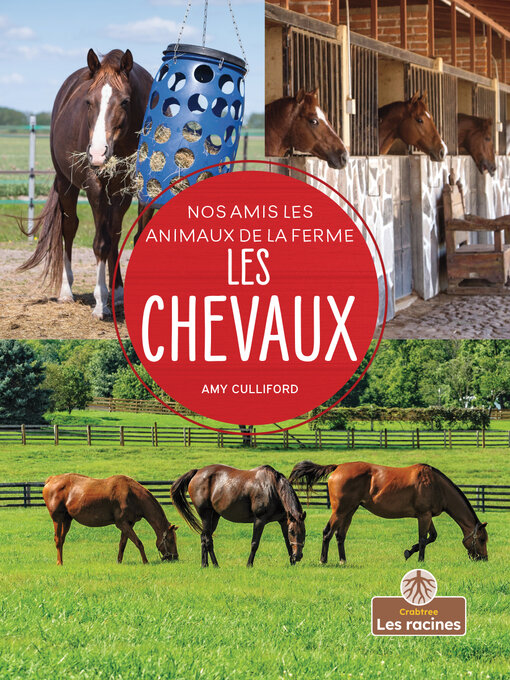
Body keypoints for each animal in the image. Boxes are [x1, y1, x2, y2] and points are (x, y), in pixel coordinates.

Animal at [19, 49, 154, 319]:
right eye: (89, 102)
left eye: (125, 101)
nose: (98, 154)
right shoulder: (95, 188)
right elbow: (100, 244)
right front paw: (101, 303)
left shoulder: (129, 190)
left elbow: (118, 238)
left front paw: (116, 296)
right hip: (66, 184)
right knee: (69, 229)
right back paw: (66, 291)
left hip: (117, 195)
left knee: (114, 234)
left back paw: (118, 293)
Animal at [43, 473, 178, 565]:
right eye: (171, 540)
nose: (175, 557)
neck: (132, 495)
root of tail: (51, 479)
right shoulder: (122, 523)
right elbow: (138, 542)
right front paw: (145, 561)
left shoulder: (129, 523)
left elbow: (122, 544)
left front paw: (119, 561)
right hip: (57, 519)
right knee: (58, 540)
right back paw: (59, 563)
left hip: (67, 520)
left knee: (61, 540)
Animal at [171, 464, 306, 567]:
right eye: (292, 531)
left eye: (304, 532)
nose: (298, 556)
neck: (272, 488)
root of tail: (197, 472)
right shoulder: (259, 520)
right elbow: (254, 543)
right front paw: (249, 564)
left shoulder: (283, 521)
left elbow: (287, 542)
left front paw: (292, 563)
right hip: (205, 514)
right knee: (208, 540)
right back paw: (215, 564)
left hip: (214, 516)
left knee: (203, 537)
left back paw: (205, 564)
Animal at [289, 461, 488, 564]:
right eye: (482, 539)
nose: (483, 559)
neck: (436, 485)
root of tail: (337, 467)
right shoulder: (423, 516)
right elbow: (424, 538)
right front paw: (419, 559)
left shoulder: (427, 515)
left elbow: (431, 537)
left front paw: (409, 551)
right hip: (340, 511)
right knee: (327, 533)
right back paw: (323, 560)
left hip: (349, 511)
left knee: (340, 535)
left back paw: (343, 560)